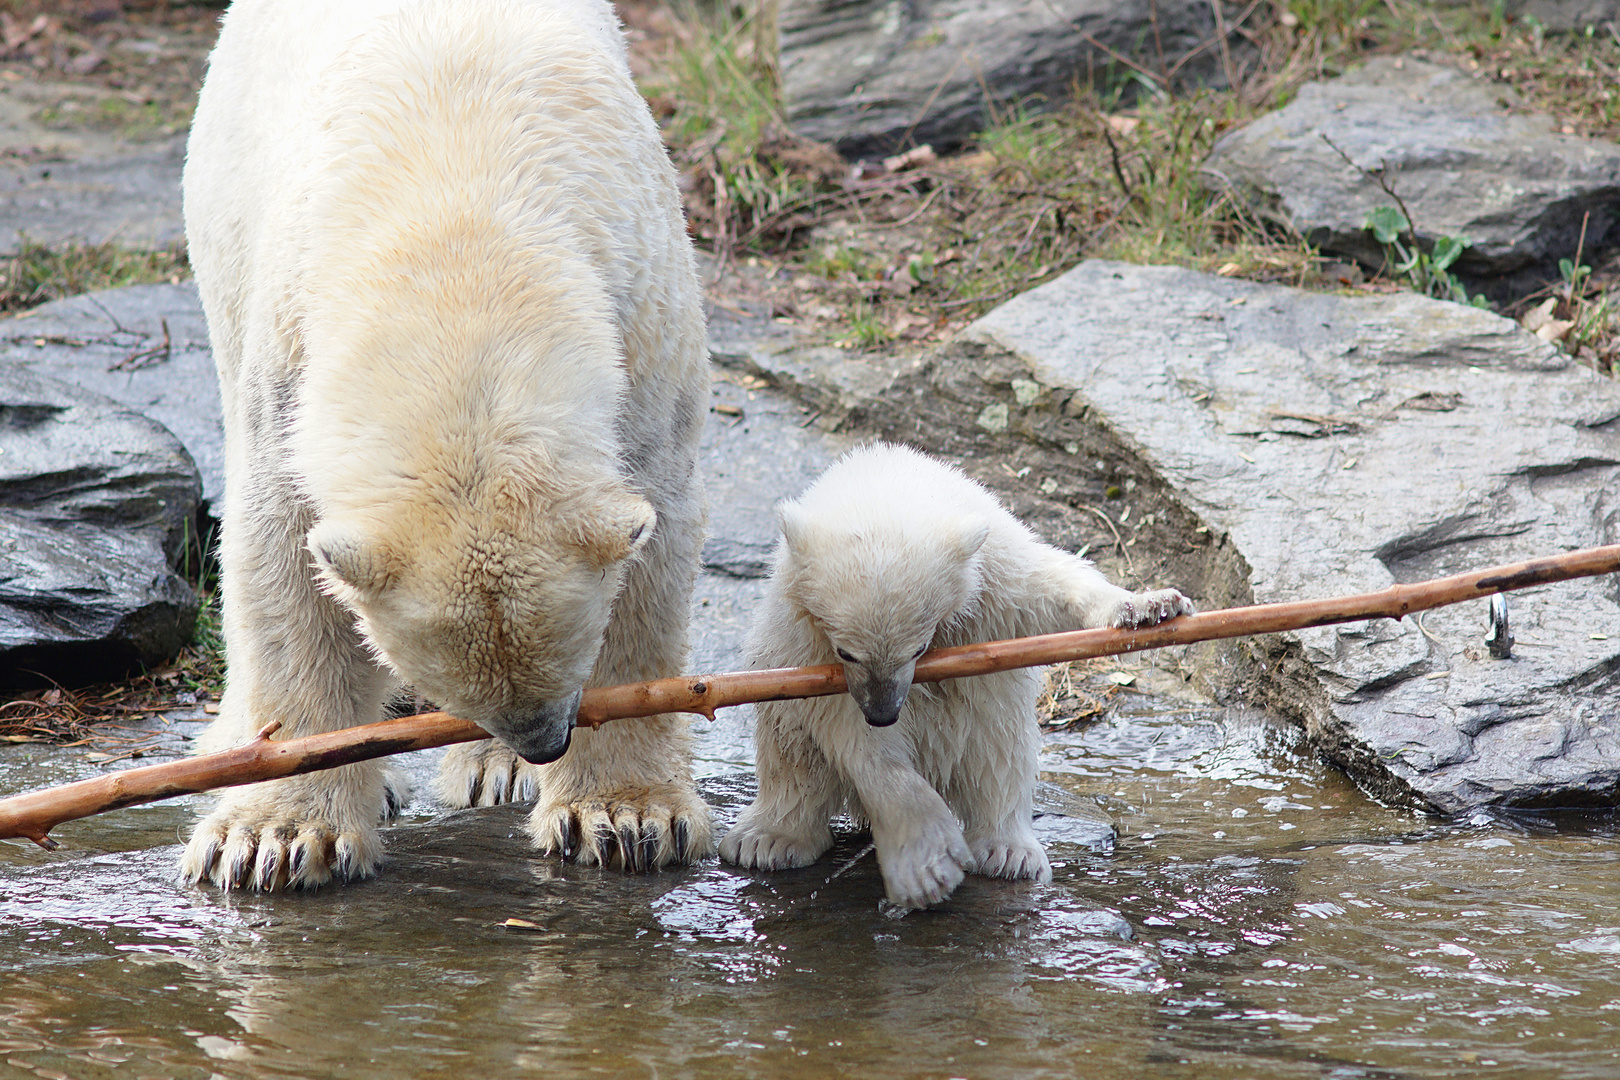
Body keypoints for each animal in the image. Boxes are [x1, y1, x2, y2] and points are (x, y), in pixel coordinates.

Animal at [182, 0, 709, 893]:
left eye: (569, 653)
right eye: (452, 677)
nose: (543, 740)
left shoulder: (643, 329)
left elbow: (652, 552)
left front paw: (626, 816)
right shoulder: (287, 354)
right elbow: (280, 560)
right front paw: (274, 837)